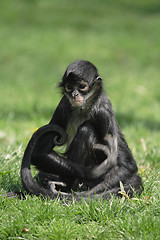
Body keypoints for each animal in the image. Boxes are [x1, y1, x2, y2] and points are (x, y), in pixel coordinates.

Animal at [20, 60, 142, 201]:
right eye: (69, 87)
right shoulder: (63, 104)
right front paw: (90, 174)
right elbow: (40, 153)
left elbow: (127, 166)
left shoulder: (103, 112)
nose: (74, 94)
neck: (84, 109)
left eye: (82, 86)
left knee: (87, 128)